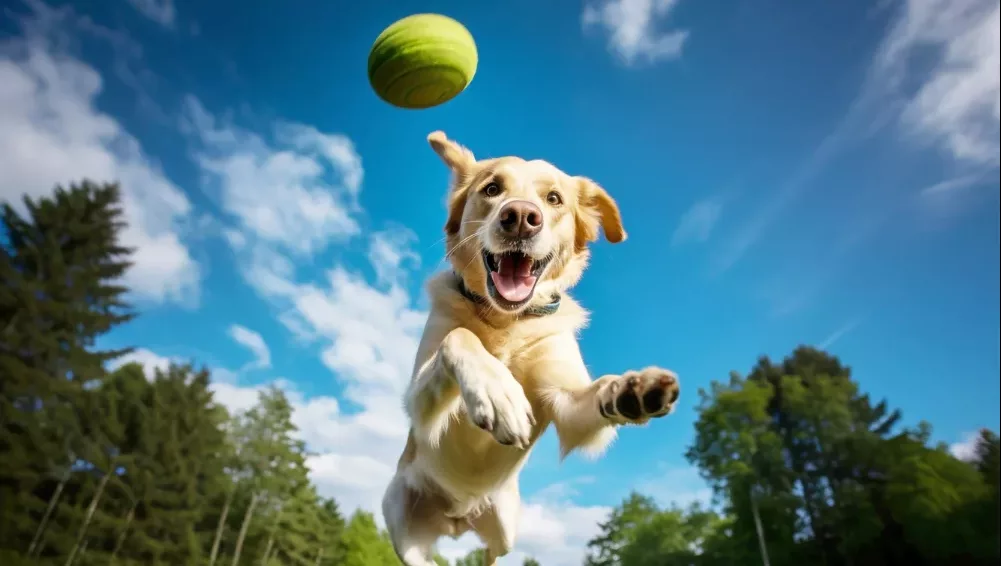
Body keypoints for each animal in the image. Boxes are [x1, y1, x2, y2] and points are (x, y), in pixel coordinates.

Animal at [382, 130, 680, 560]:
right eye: (492, 189)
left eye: (553, 198)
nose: (521, 217)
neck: (507, 321)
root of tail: (456, 518)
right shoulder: (419, 406)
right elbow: (460, 338)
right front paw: (496, 391)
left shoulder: (567, 405)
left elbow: (593, 394)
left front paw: (630, 388)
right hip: (399, 519)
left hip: (506, 529)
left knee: (490, 555)